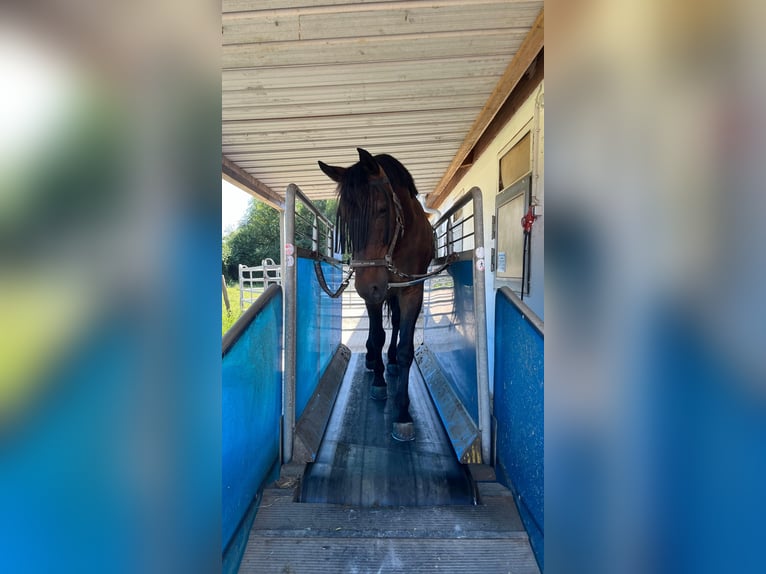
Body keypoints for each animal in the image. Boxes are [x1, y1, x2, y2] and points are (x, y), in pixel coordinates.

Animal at [318, 147, 436, 440]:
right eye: (345, 219)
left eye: (383, 210)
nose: (366, 286)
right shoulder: (375, 295)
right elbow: (377, 334)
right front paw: (380, 381)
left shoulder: (411, 290)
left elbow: (405, 347)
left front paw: (403, 412)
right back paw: (373, 359)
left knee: (395, 323)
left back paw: (390, 360)